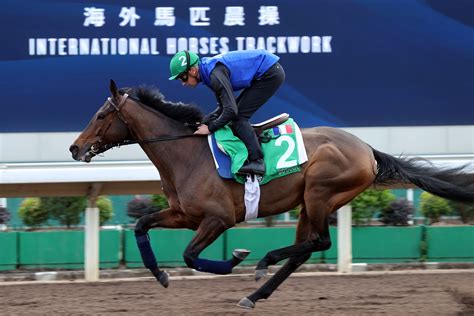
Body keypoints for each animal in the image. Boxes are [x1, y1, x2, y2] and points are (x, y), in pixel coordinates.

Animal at [68, 81, 472, 308]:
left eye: (102, 115)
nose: (75, 148)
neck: (185, 153)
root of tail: (367, 149)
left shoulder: (218, 219)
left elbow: (190, 256)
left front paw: (234, 258)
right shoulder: (184, 215)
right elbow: (141, 226)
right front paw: (159, 275)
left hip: (321, 192)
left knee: (320, 242)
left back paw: (264, 261)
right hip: (309, 202)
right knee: (306, 250)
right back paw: (255, 294)